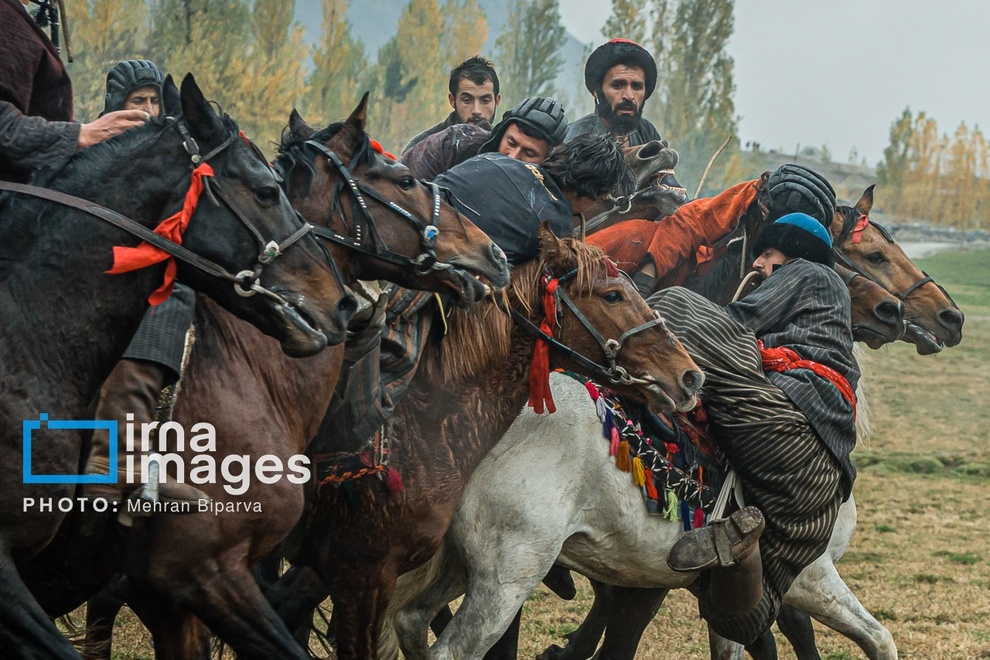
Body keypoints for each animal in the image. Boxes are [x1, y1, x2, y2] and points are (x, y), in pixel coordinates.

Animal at [388, 372, 900, 660]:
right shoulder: (809, 577)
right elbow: (878, 639)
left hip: (461, 568)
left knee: (411, 621)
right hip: (506, 579)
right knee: (451, 652)